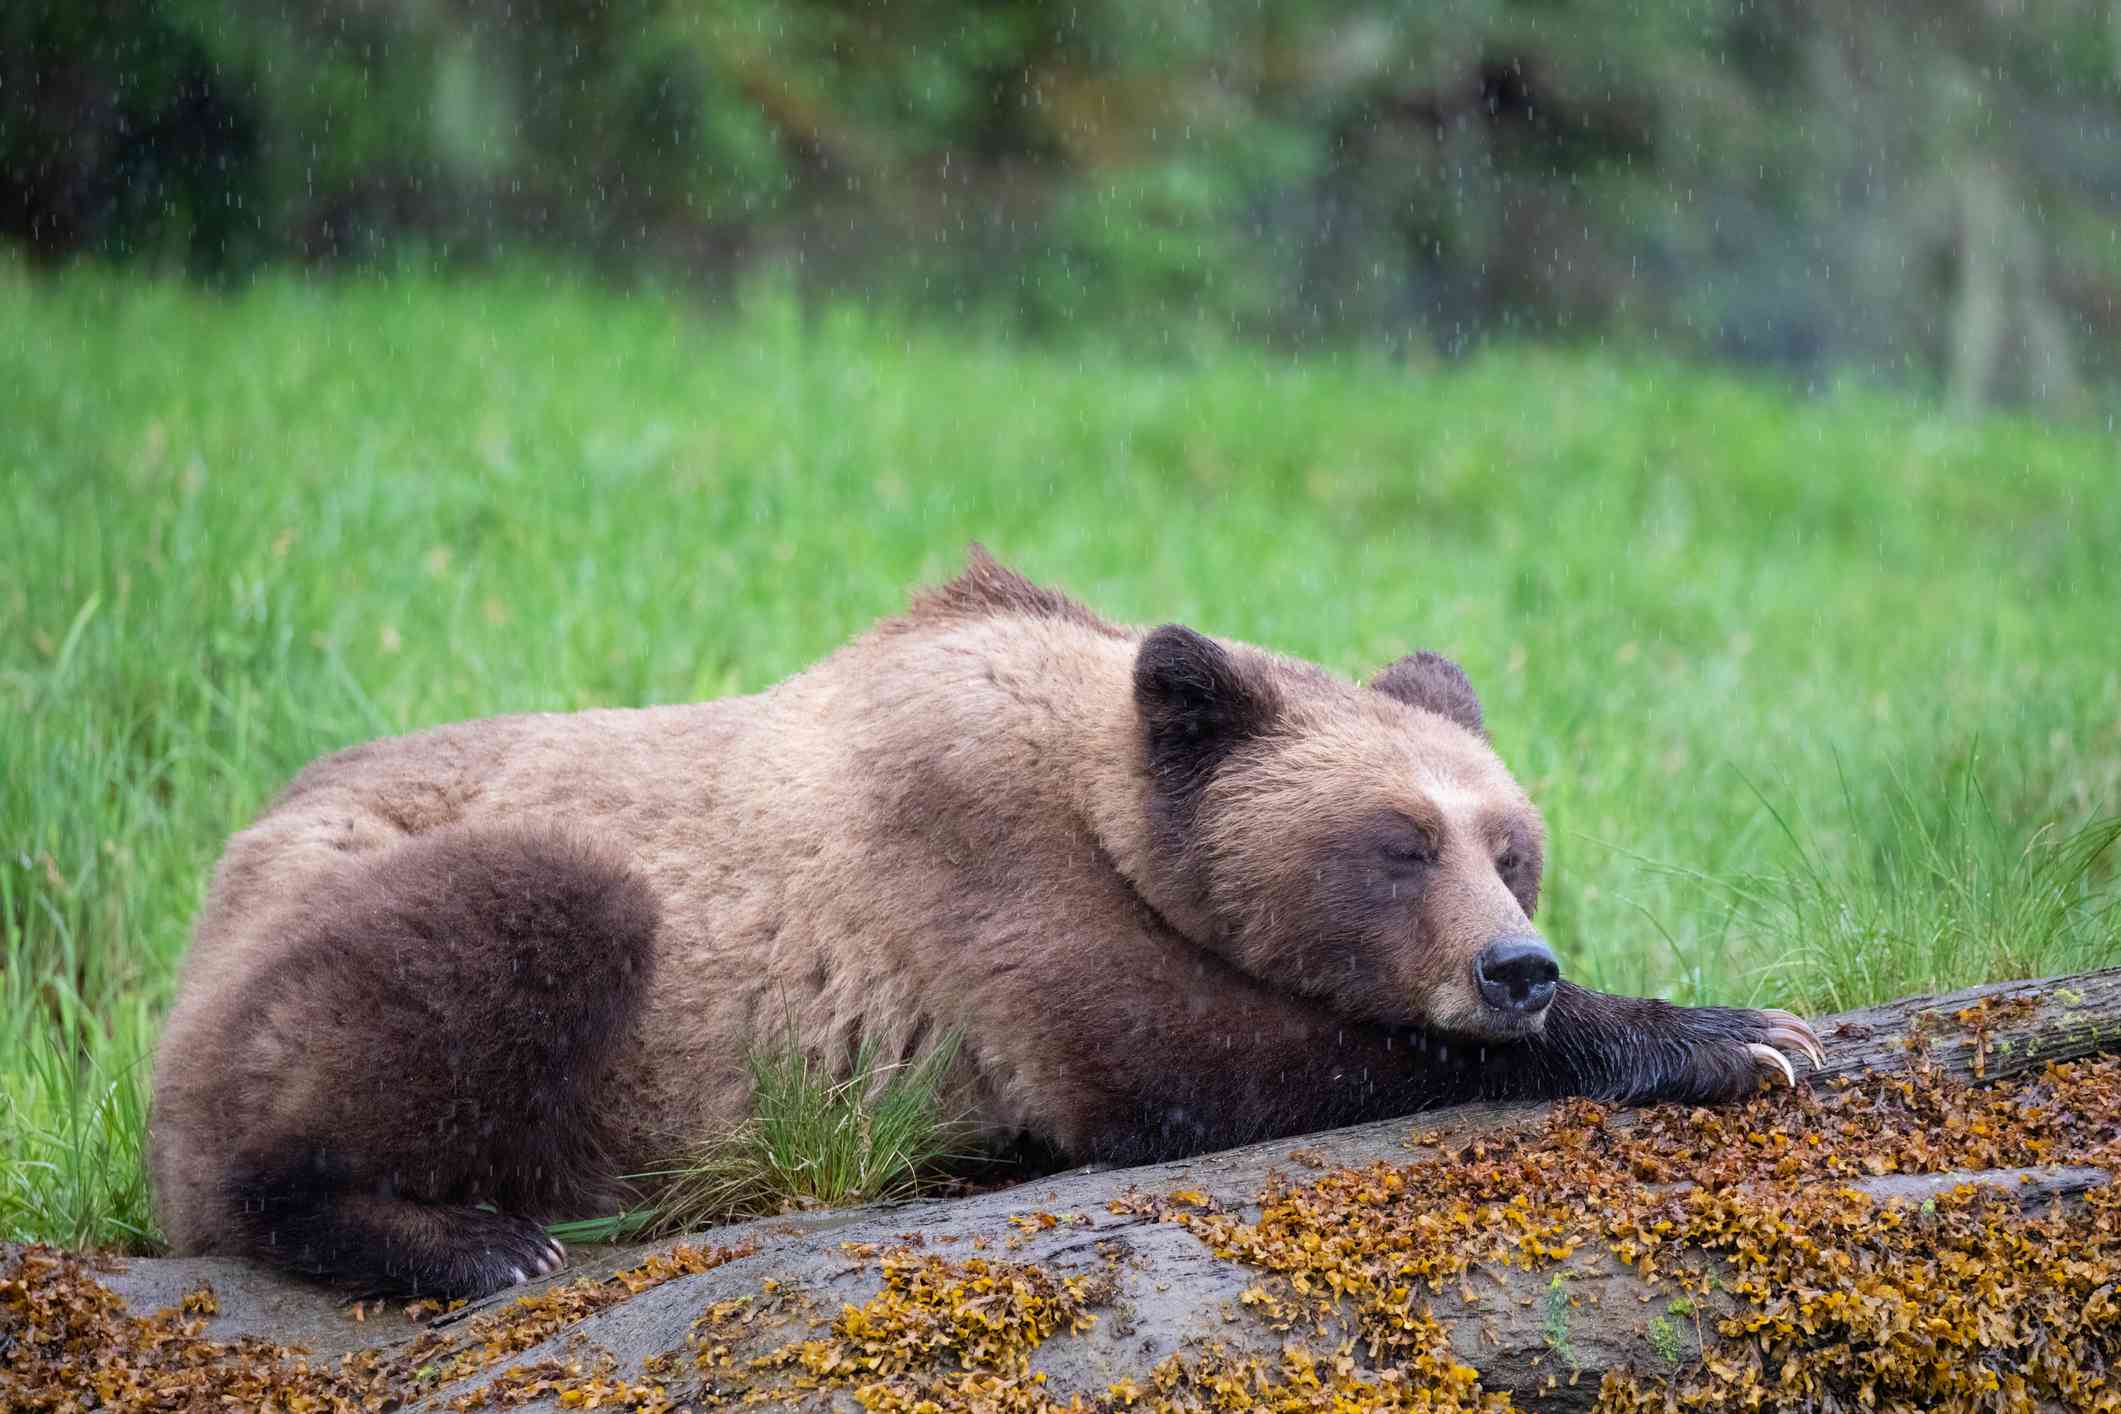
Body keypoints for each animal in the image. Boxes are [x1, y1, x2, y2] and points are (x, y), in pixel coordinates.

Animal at [149, 546, 1824, 1297]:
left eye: (1511, 846)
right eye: (1397, 843)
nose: (1516, 967)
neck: (1100, 783)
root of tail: (221, 869)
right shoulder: (980, 875)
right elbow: (1173, 1061)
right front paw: (1729, 1033)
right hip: (398, 906)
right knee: (511, 929)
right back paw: (475, 1237)